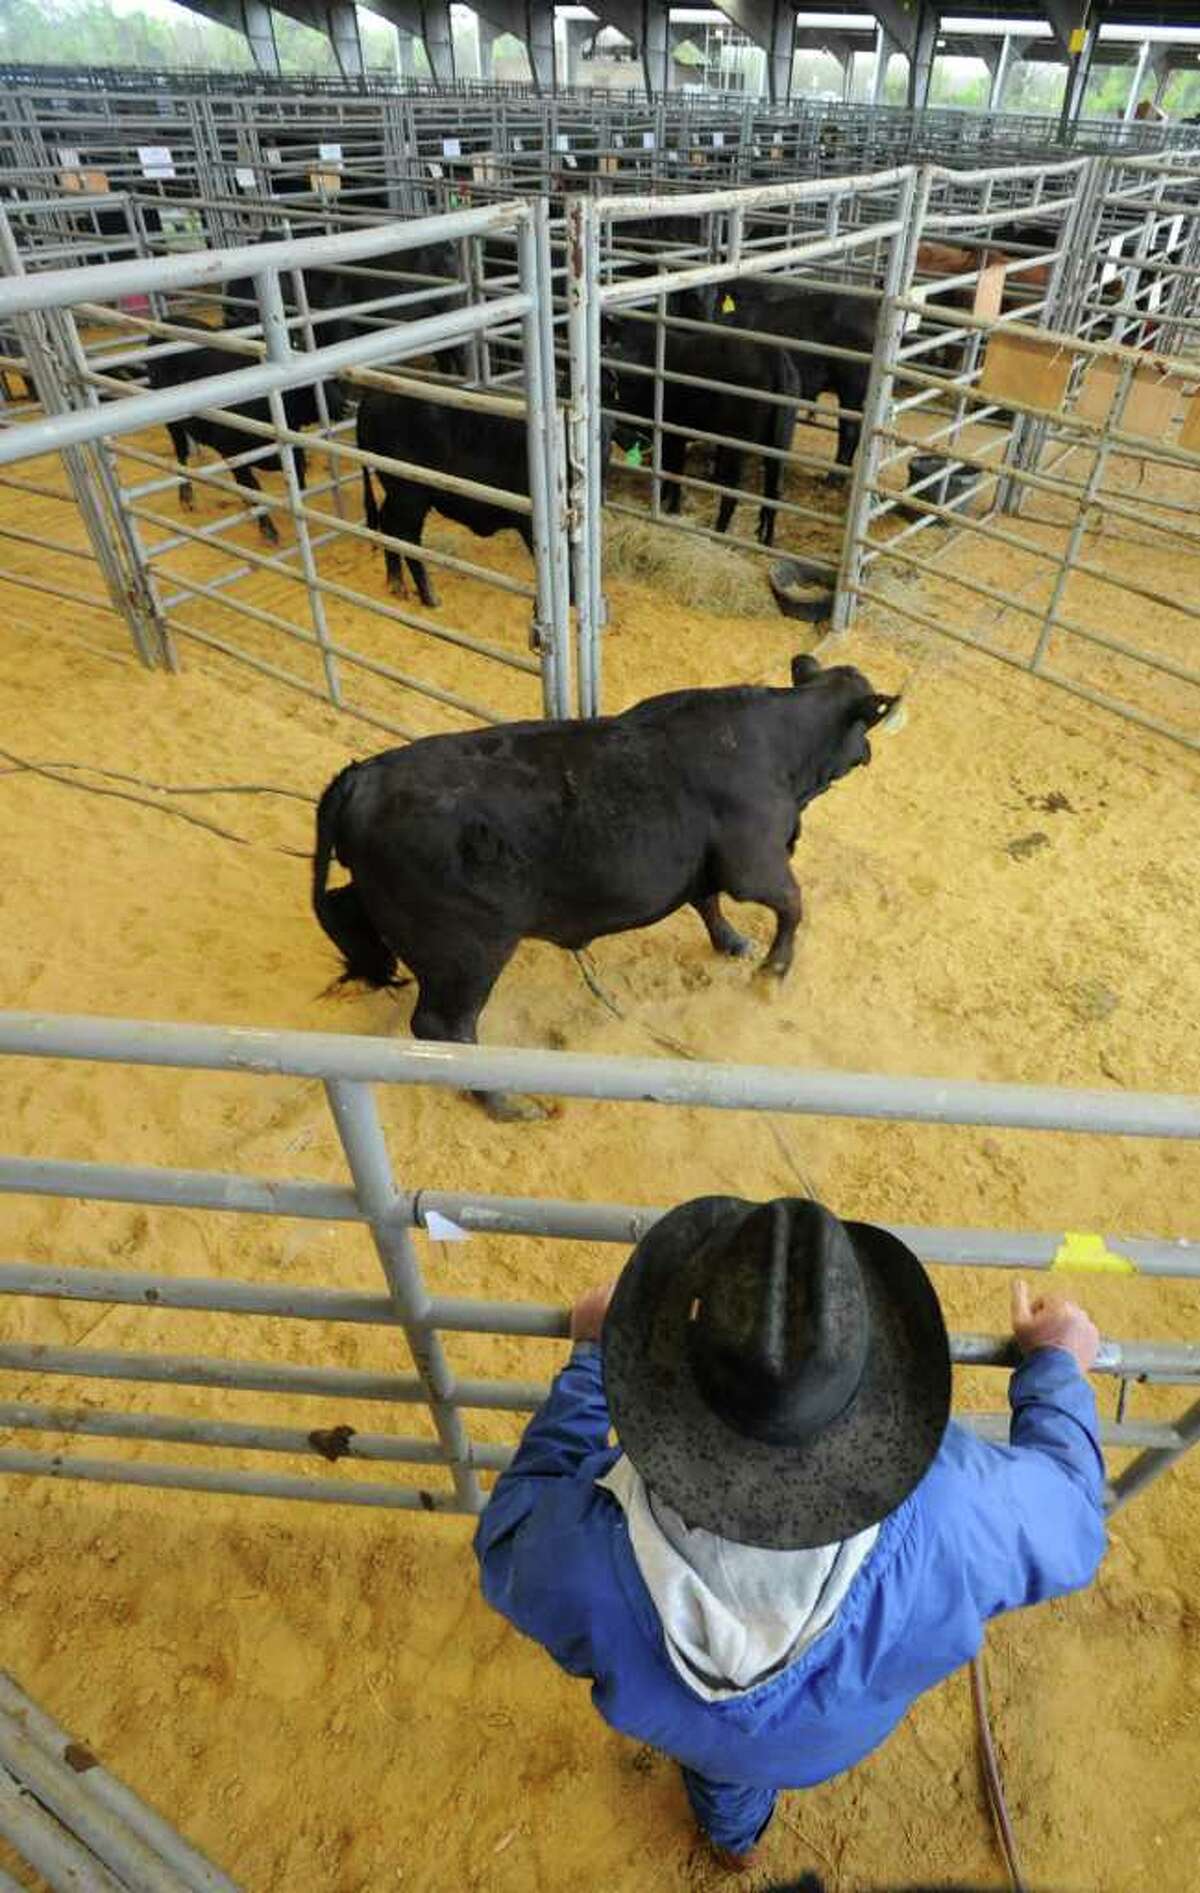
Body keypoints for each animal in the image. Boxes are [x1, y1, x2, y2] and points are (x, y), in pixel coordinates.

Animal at [144, 333, 343, 545]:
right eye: (307, 385)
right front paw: (268, 529)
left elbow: (298, 478)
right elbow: (253, 488)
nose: (345, 406)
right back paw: (186, 496)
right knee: (181, 454)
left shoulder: (293, 450)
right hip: (173, 424)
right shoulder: (232, 454)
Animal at [311, 655, 898, 1118]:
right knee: (444, 1026)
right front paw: (772, 973)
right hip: (467, 952)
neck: (777, 743)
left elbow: (707, 902)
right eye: (866, 726)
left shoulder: (701, 864)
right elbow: (793, 907)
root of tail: (363, 777)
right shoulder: (754, 864)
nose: (869, 752)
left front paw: (732, 942)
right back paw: (505, 1101)